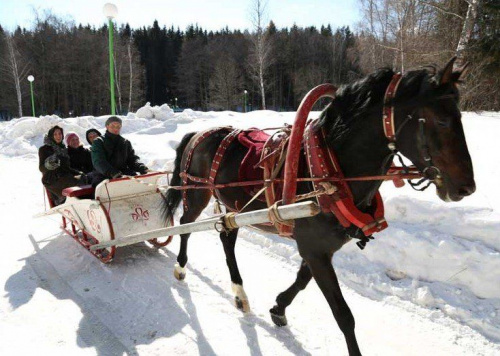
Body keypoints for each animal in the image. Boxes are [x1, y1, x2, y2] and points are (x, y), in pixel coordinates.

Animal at [162, 57, 474, 354]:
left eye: (460, 117)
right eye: (442, 120)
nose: (467, 187)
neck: (329, 170)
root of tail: (198, 133)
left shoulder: (320, 248)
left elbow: (302, 280)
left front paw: (278, 307)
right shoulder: (314, 248)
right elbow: (343, 315)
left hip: (234, 208)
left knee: (227, 237)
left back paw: (239, 293)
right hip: (197, 193)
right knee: (186, 225)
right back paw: (180, 267)